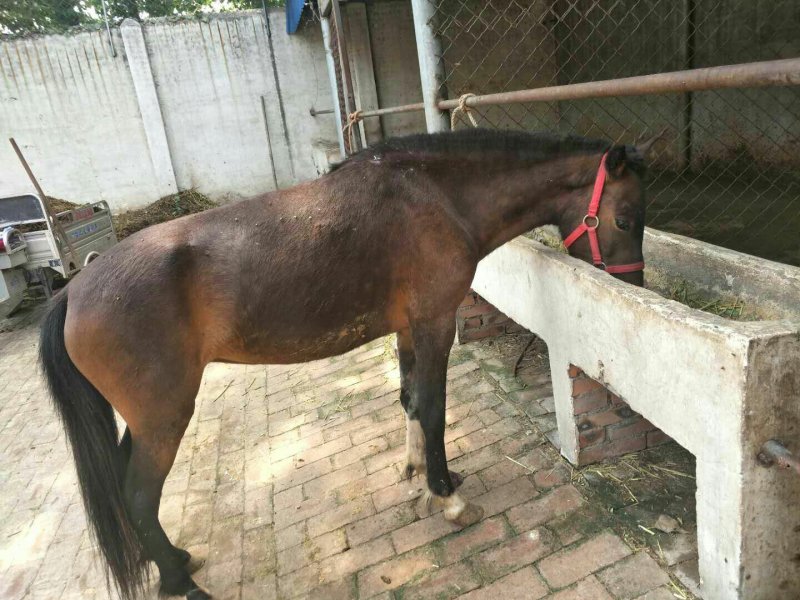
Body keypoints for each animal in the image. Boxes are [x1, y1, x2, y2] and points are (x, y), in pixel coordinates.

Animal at [39, 128, 652, 599]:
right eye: (625, 219)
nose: (635, 286)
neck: (435, 197)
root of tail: (74, 291)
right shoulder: (435, 323)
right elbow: (433, 408)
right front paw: (448, 498)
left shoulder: (409, 329)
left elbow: (409, 400)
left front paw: (421, 475)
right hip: (164, 417)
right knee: (140, 496)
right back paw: (183, 584)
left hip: (145, 421)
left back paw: (176, 563)